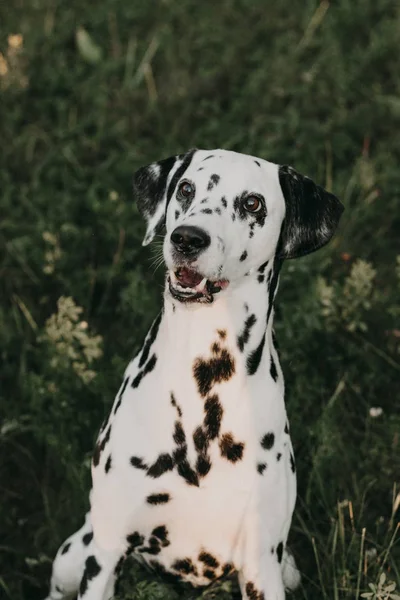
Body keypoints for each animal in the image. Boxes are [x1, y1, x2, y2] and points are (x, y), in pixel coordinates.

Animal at [44, 149, 344, 600]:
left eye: (252, 202)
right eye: (186, 188)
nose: (187, 238)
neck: (205, 380)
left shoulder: (262, 564)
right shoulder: (106, 552)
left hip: (285, 566)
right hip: (75, 551)